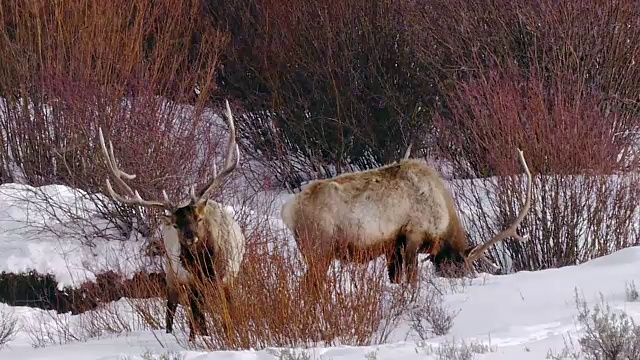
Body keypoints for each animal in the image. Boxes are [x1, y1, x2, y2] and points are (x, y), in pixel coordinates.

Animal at [96, 100, 246, 342]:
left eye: (199, 218)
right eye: (177, 224)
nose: (189, 237)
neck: (207, 265)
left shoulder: (227, 277)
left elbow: (227, 316)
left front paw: (232, 337)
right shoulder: (190, 280)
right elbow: (196, 317)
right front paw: (199, 340)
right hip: (171, 272)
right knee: (174, 310)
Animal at [282, 147, 532, 286]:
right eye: (459, 267)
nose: (465, 279)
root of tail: (288, 210)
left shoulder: (392, 247)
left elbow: (395, 277)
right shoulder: (412, 235)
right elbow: (412, 279)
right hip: (319, 249)